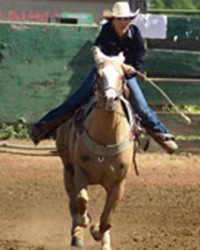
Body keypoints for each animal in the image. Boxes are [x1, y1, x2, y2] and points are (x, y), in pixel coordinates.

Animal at [55, 47, 135, 250]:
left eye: (122, 76)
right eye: (98, 75)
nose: (110, 99)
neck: (105, 139)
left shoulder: (119, 183)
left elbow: (107, 218)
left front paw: (97, 231)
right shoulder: (80, 172)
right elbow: (82, 200)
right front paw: (85, 221)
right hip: (67, 170)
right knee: (72, 202)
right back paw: (77, 234)